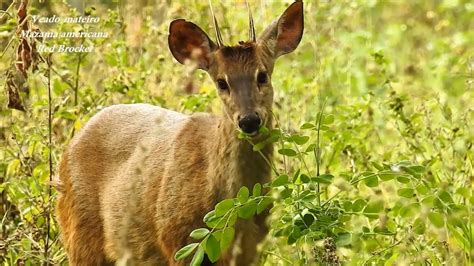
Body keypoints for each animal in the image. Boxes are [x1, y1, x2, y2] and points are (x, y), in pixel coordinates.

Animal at [55, 1, 304, 264]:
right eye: (221, 82)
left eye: (262, 75)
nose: (249, 120)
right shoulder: (176, 239)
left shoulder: (253, 249)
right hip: (78, 230)